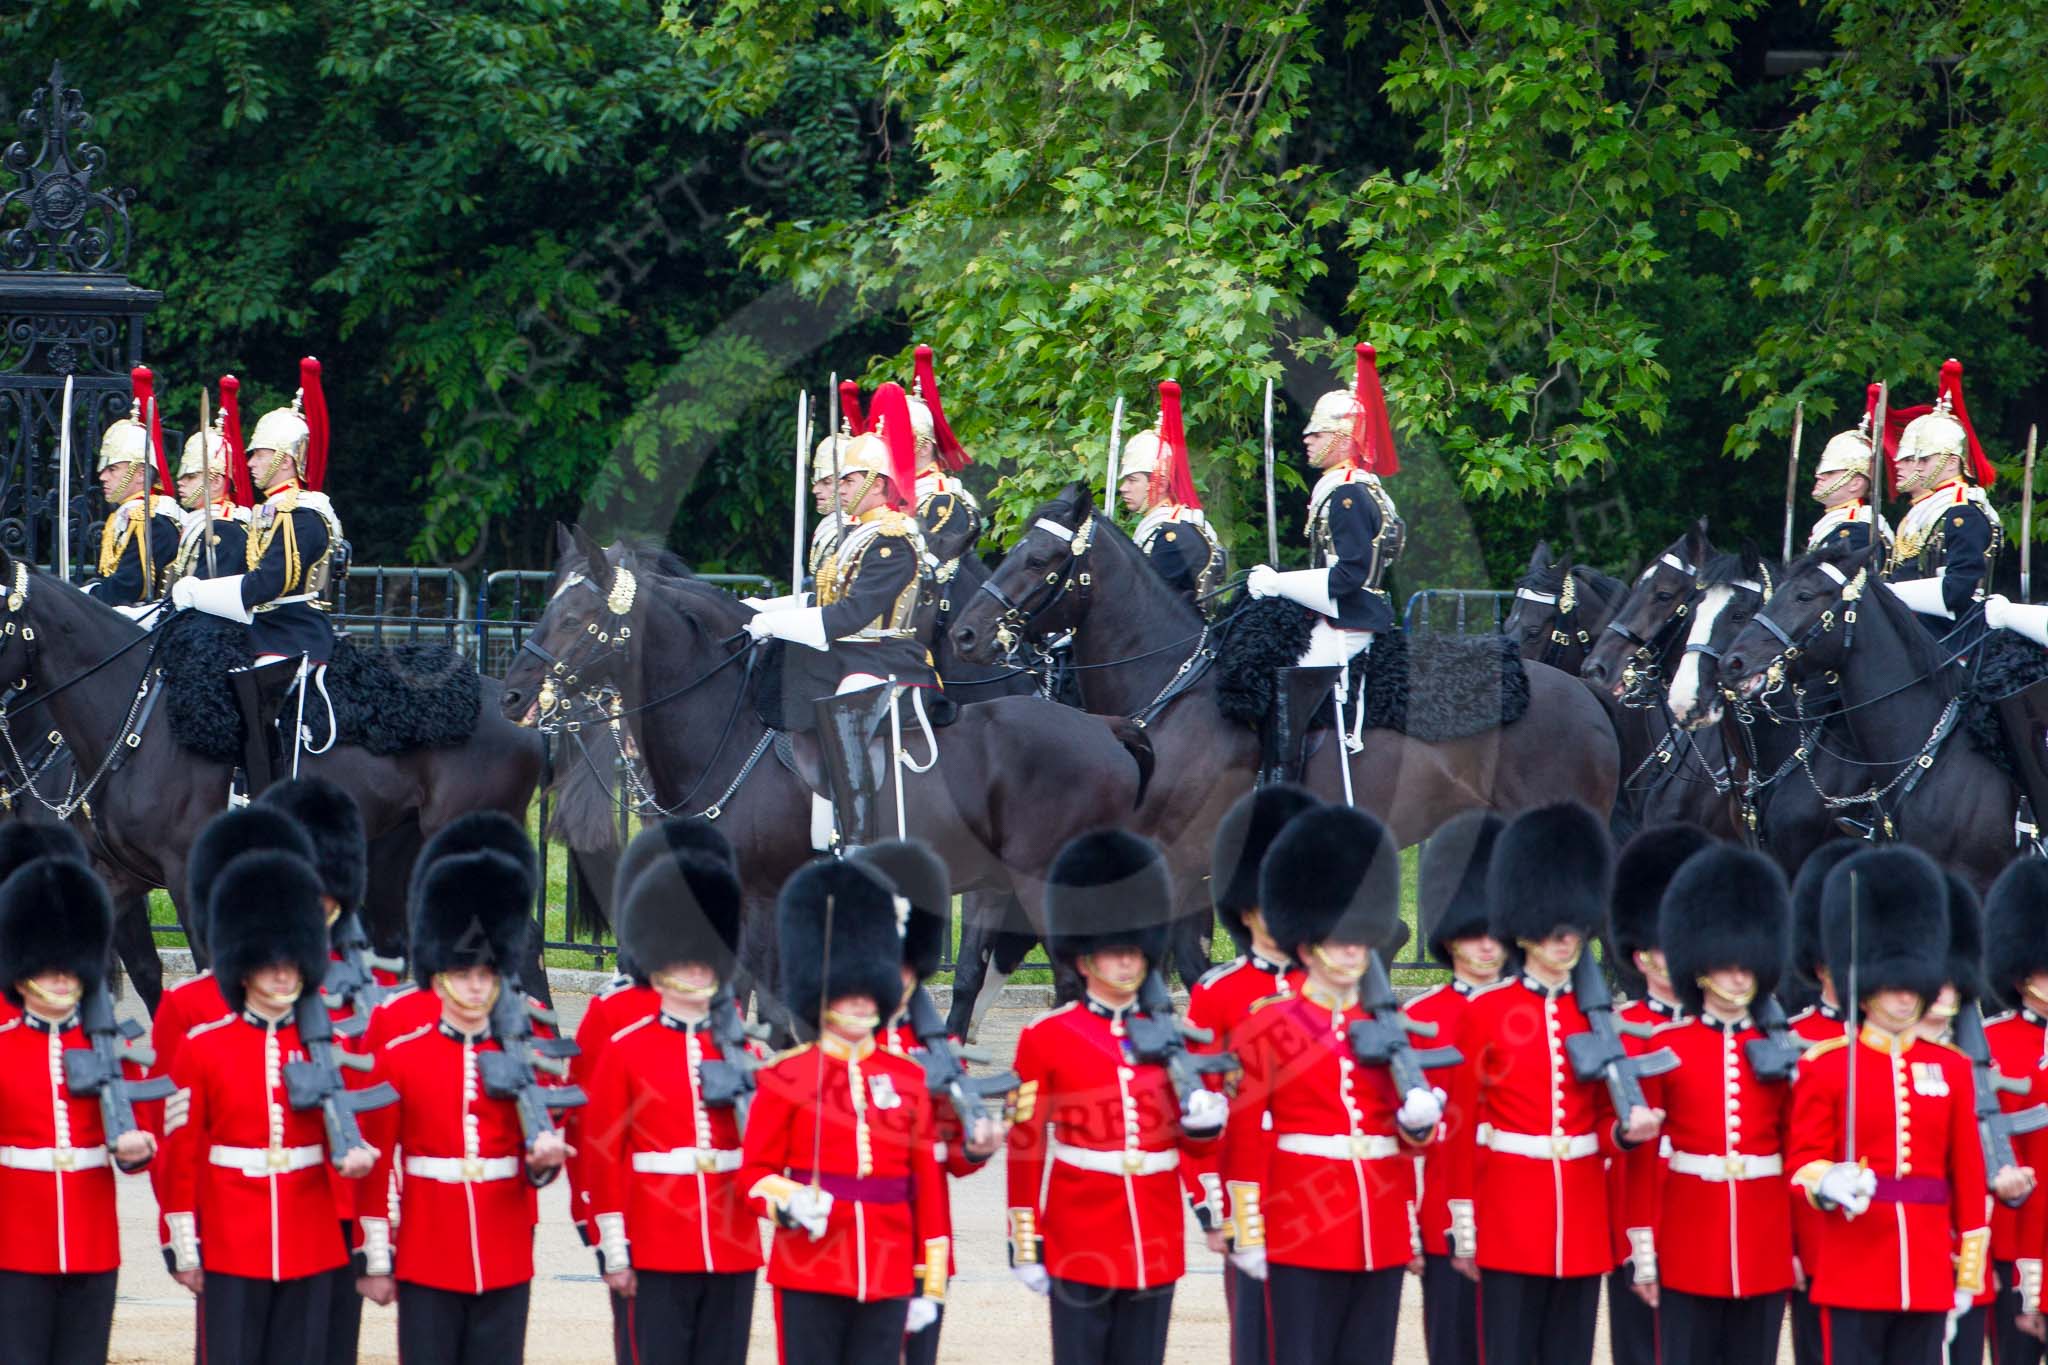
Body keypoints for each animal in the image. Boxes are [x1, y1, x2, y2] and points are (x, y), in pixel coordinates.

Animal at [501, 532, 1163, 1035]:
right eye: (548, 609)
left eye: (576, 619)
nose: (512, 695)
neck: (728, 731)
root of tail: (1103, 728)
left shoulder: (762, 892)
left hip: (1047, 881)